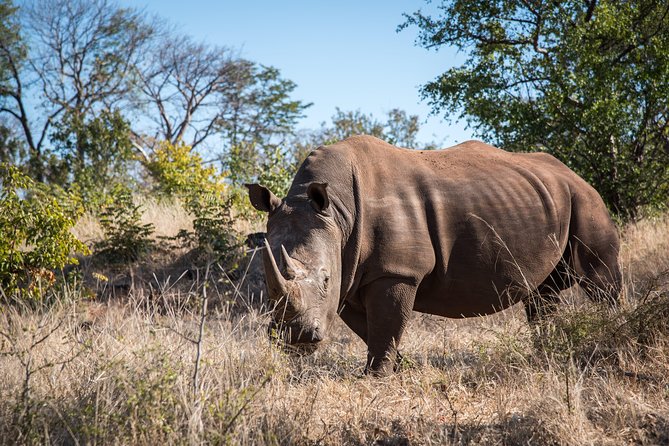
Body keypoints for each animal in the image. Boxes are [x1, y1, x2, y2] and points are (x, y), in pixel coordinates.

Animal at [246, 136, 621, 376]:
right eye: (267, 285)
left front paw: (376, 377)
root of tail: (575, 174)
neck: (337, 213)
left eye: (325, 279)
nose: (295, 338)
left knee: (600, 282)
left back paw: (614, 341)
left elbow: (386, 326)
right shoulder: (349, 275)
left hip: (586, 200)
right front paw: (401, 368)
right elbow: (371, 329)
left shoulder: (395, 271)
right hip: (547, 199)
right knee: (543, 295)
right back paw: (548, 354)